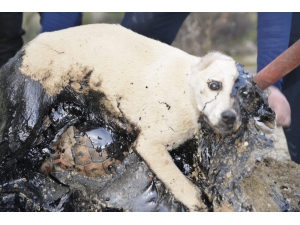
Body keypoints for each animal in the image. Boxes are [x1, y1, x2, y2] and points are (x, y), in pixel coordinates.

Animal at [18, 24, 239, 211]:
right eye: (214, 85)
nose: (230, 117)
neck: (187, 88)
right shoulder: (152, 141)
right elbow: (174, 176)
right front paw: (196, 201)